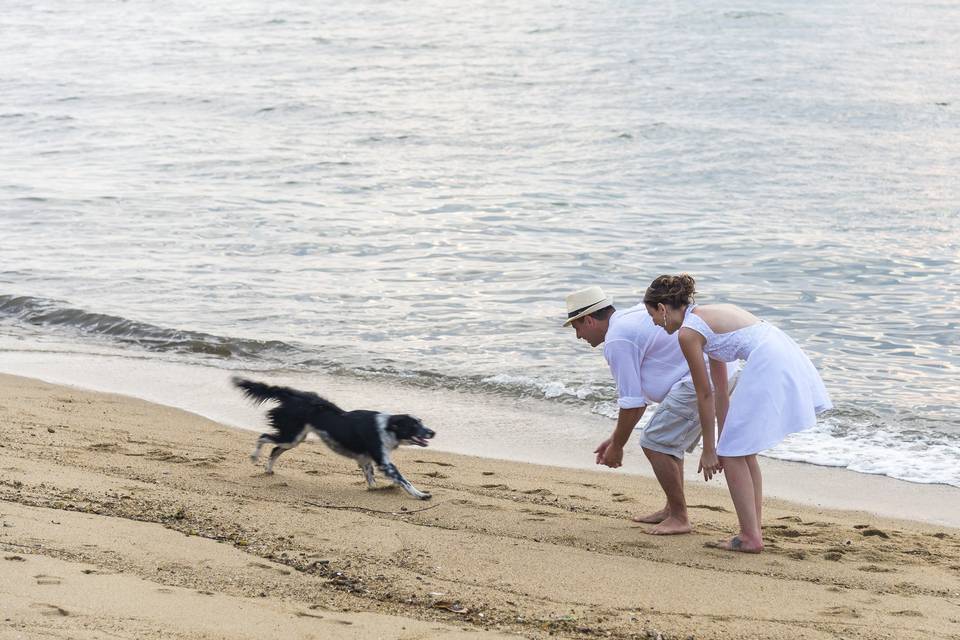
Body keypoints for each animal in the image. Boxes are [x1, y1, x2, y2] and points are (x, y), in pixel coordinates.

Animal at [234, 380, 436, 500]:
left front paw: (375, 489)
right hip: (291, 436)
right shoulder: (384, 461)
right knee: (263, 437)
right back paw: (254, 457)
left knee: (274, 449)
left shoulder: (366, 459)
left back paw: (268, 469)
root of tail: (293, 395)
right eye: (414, 425)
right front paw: (420, 494)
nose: (433, 432)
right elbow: (404, 480)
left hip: (295, 438)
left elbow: (370, 477)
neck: (387, 426)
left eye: (421, 422)